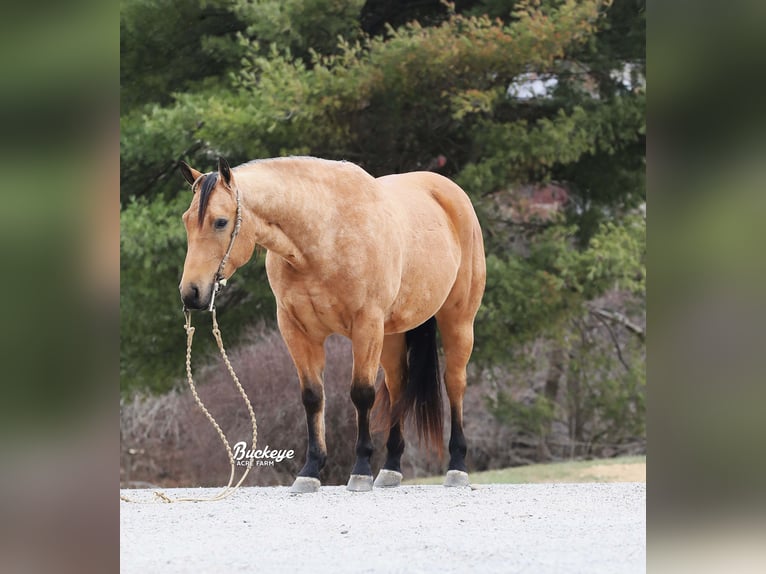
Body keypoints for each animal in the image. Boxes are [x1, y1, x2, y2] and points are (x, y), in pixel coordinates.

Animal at [178, 158, 486, 496]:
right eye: (186, 221)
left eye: (220, 222)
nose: (191, 293)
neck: (324, 235)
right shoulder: (297, 331)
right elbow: (313, 396)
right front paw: (310, 471)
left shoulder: (365, 326)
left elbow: (362, 394)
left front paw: (360, 471)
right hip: (390, 335)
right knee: (398, 386)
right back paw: (391, 469)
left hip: (457, 321)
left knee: (454, 382)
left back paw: (457, 467)